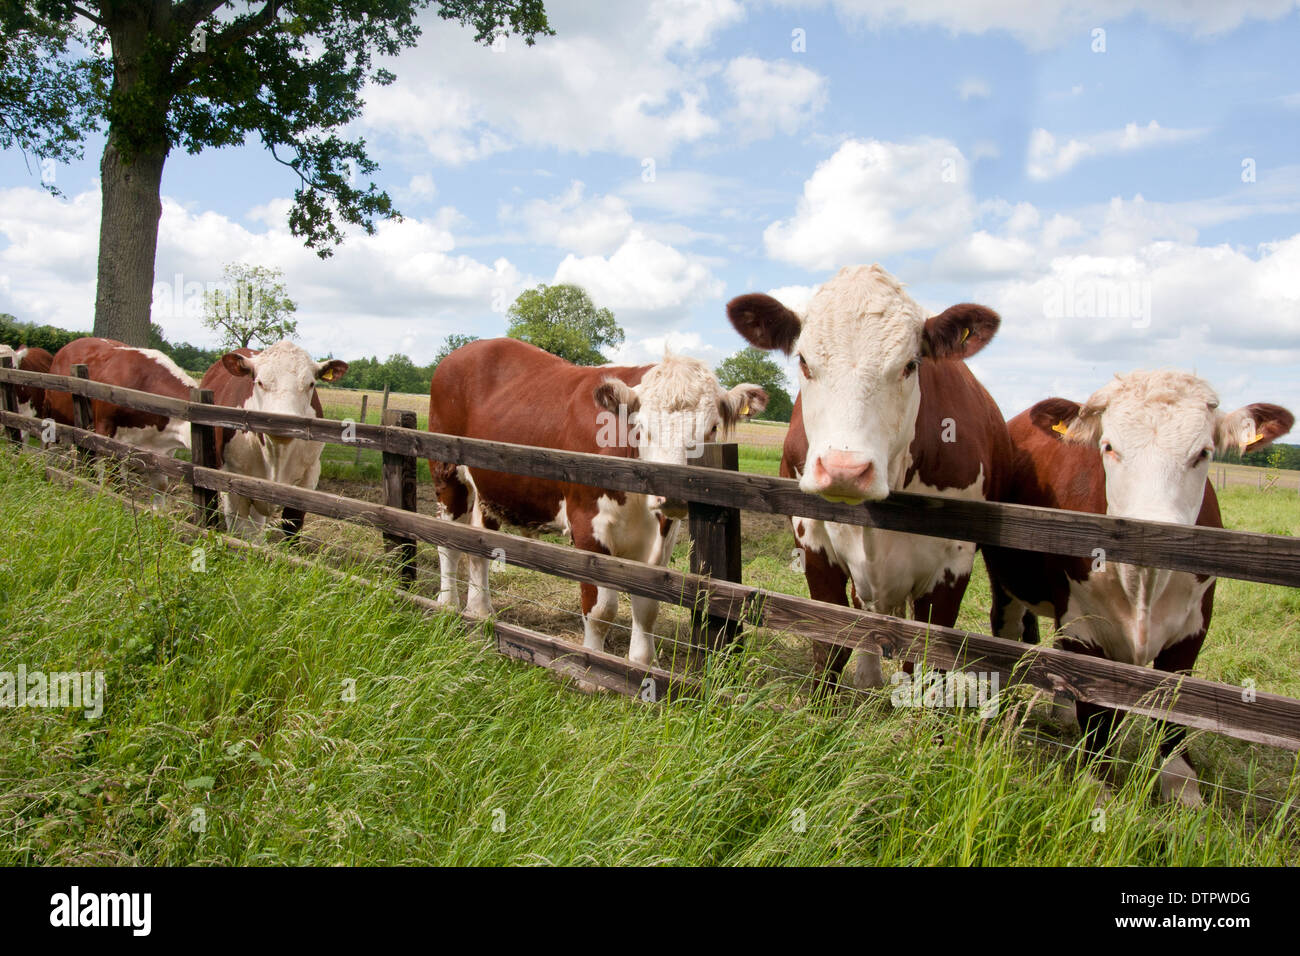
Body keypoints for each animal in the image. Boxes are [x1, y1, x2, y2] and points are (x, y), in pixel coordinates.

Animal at [199, 341, 348, 538]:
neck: (277, 454)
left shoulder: (309, 476)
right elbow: (244, 532)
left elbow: (292, 525)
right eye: (260, 382)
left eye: (311, 384)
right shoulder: (232, 480)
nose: (284, 422)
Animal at [426, 337, 767, 668]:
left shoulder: (663, 535)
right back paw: (448, 605)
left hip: (490, 491)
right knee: (448, 544)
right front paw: (592, 669)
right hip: (448, 477)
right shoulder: (587, 525)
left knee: (479, 547)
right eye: (642, 428)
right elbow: (601, 610)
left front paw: (641, 666)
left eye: (712, 428)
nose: (673, 493)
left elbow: (648, 606)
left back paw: (480, 612)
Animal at [727, 264, 1010, 692]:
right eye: (804, 361)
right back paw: (869, 675)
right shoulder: (813, 541)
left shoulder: (953, 564)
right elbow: (830, 644)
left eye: (911, 365)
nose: (844, 470)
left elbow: (929, 663)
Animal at [981, 370, 1294, 805]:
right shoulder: (1084, 625)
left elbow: (1176, 704)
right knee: (1008, 631)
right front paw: (1096, 784)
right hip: (1008, 583)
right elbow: (1096, 710)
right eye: (1109, 447)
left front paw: (1181, 785)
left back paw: (1061, 711)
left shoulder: (1192, 628)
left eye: (1204, 452)